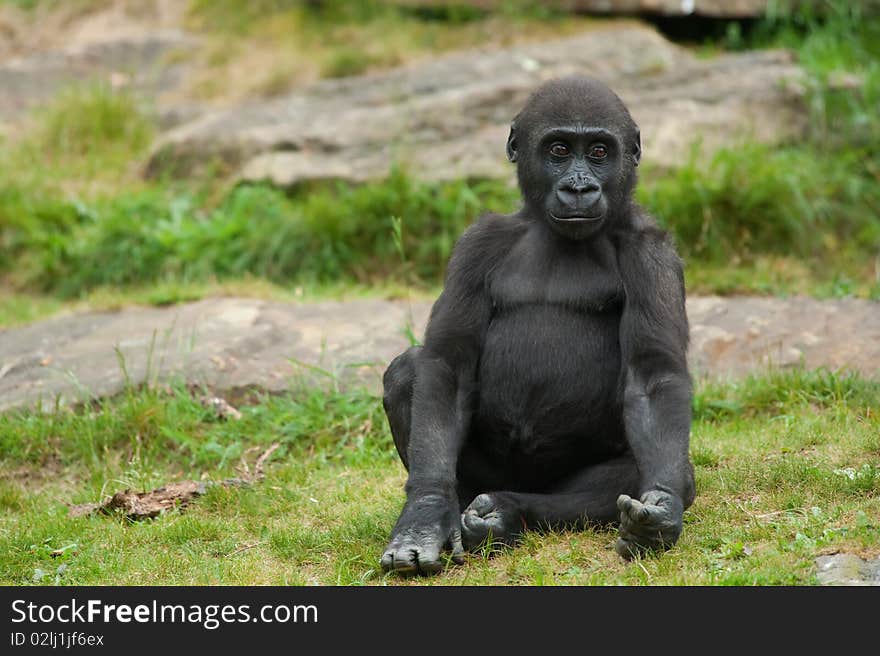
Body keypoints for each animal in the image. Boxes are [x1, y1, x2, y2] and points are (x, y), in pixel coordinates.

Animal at [382, 77, 696, 576]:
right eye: (560, 149)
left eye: (600, 152)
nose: (579, 188)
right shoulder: (478, 243)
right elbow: (448, 364)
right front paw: (425, 514)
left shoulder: (652, 253)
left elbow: (652, 377)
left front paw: (662, 507)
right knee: (407, 372)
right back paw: (468, 512)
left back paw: (509, 513)